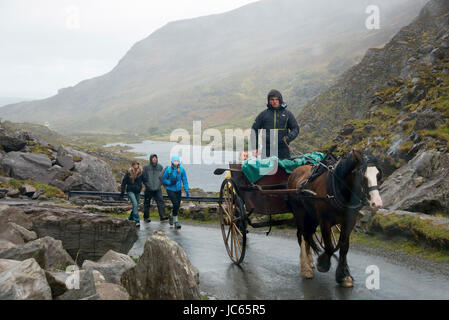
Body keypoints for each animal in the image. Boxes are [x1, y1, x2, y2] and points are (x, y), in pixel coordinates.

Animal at [288, 150, 382, 288]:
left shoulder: (349, 221)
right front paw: (323, 264)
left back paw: (309, 262)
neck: (338, 189)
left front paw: (344, 276)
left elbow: (344, 246)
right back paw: (306, 268)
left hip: (311, 216)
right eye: (362, 176)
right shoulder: (324, 221)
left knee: (308, 235)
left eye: (378, 174)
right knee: (302, 235)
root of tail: (296, 170)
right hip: (300, 213)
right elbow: (329, 245)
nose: (377, 203)